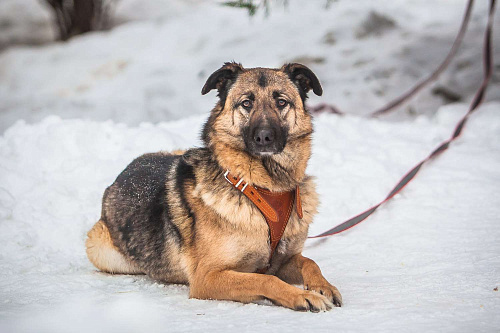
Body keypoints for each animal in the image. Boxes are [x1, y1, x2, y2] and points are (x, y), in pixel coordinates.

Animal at [87, 61, 344, 312]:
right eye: (246, 103)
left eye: (281, 102)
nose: (264, 137)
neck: (260, 188)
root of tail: (121, 175)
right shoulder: (207, 278)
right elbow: (264, 279)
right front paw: (302, 296)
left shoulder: (284, 260)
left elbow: (310, 262)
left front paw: (323, 287)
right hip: (100, 249)